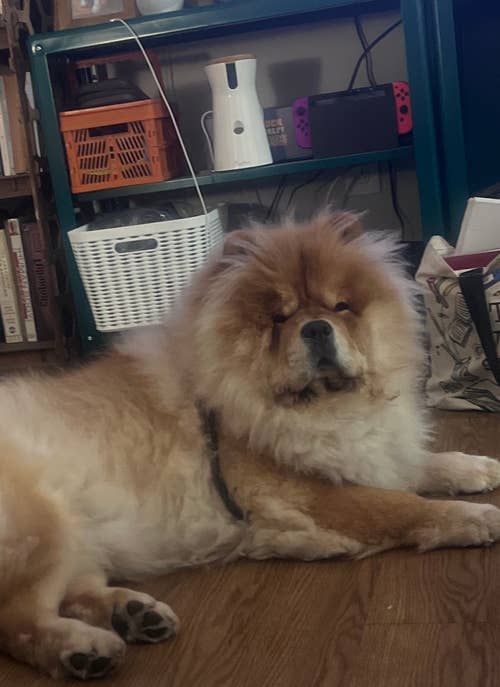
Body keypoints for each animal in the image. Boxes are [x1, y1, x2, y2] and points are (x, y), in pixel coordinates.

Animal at [0, 212, 499, 679]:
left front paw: (479, 468)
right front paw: (477, 517)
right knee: (20, 621)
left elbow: (423, 464)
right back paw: (83, 649)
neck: (326, 408)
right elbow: (399, 505)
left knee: (78, 592)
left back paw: (135, 615)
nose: (316, 328)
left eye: (341, 307)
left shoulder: (371, 453)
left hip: (83, 540)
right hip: (48, 528)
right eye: (279, 319)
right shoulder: (304, 492)